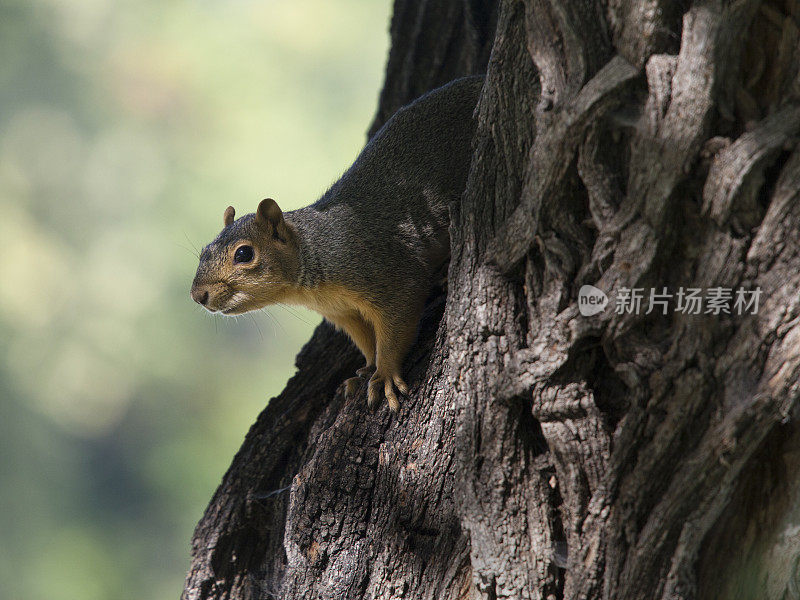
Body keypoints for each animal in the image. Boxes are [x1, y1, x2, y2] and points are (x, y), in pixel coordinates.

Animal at [191, 75, 484, 410]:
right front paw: (366, 369)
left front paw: (384, 374)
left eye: (243, 254)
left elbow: (395, 329)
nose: (198, 295)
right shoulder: (343, 312)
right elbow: (367, 341)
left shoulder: (390, 276)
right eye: (204, 251)